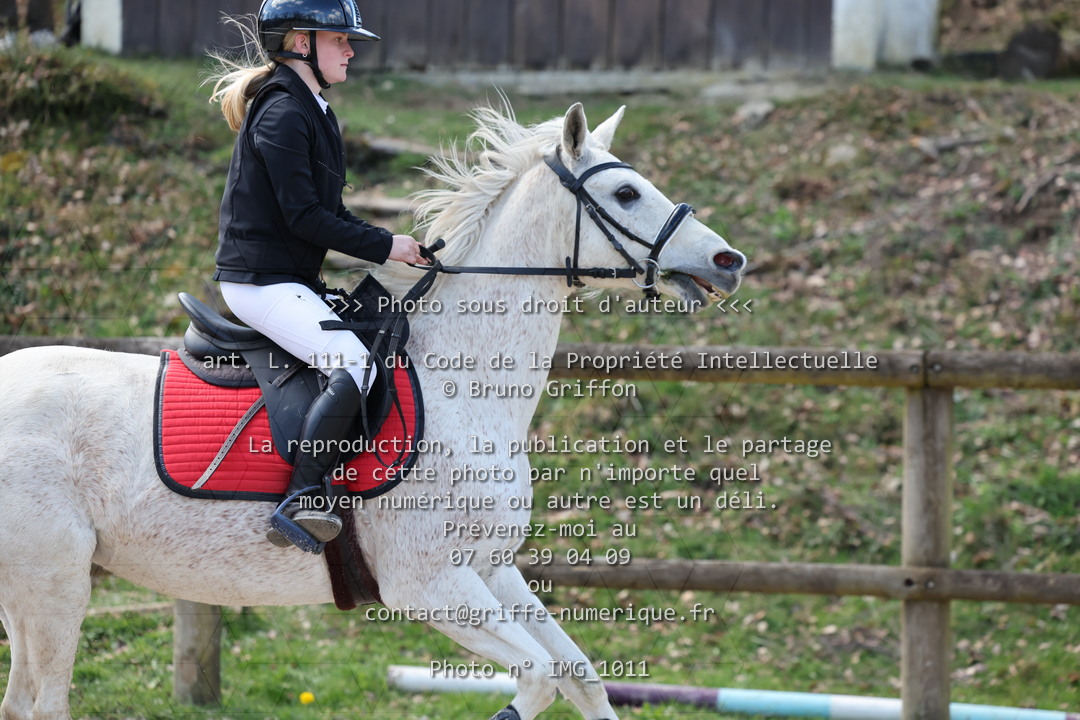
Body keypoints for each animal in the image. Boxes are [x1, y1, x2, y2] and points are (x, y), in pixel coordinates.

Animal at [0, 102, 745, 720]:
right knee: (44, 705)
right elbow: (536, 678)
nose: (728, 260)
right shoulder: (429, 584)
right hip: (53, 584)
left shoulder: (491, 569)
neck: (464, 385)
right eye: (626, 193)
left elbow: (580, 675)